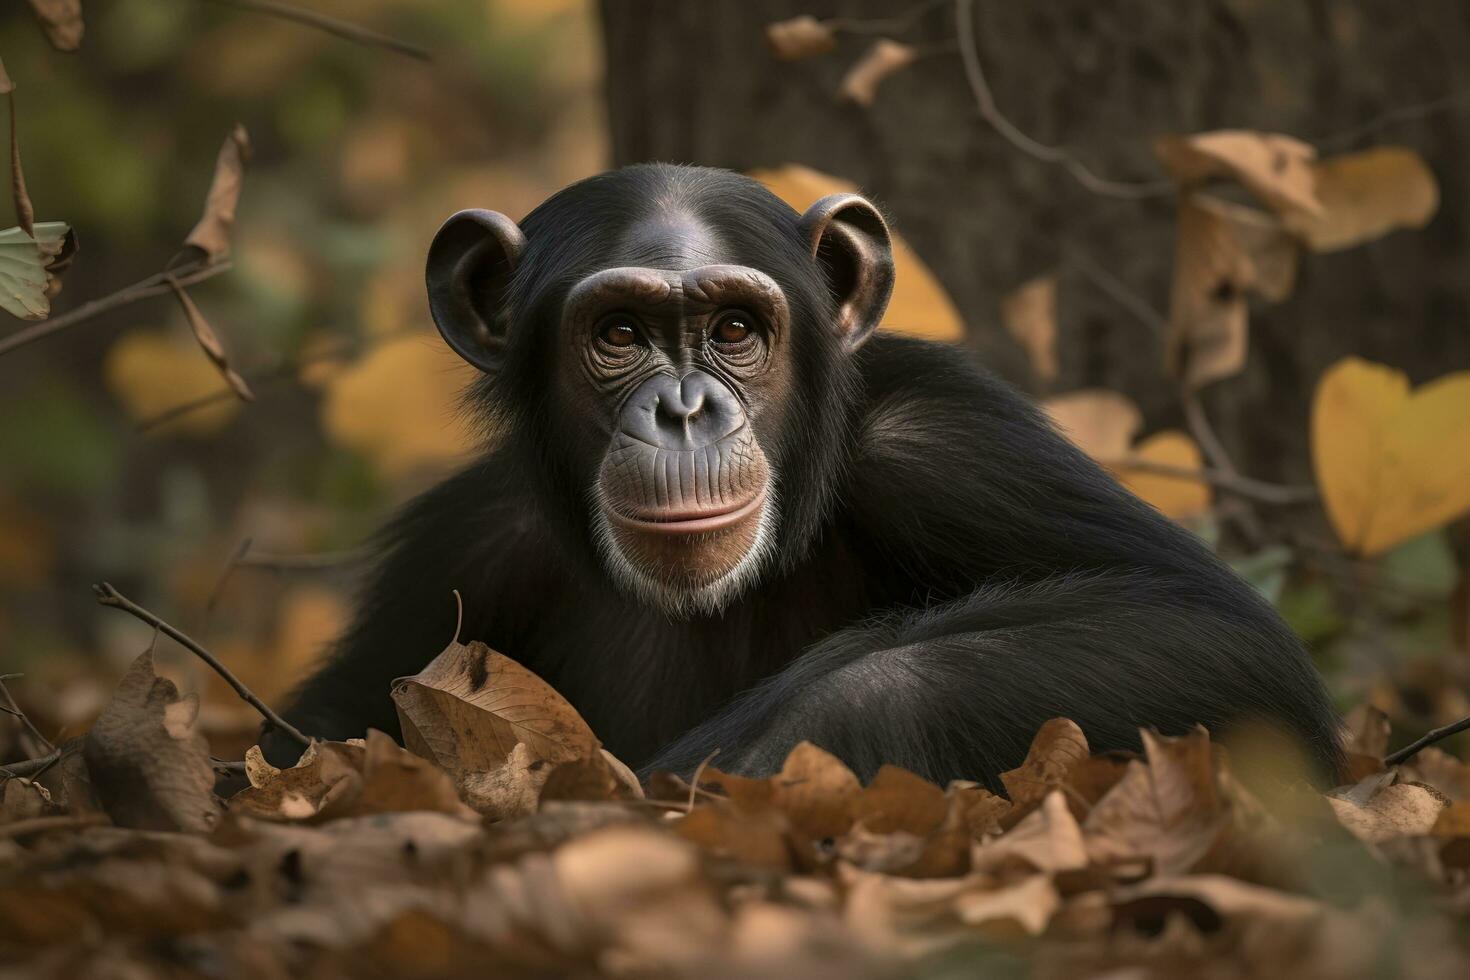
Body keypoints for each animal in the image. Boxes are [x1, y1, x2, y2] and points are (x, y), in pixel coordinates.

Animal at [264, 163, 1346, 787]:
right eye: (619, 335)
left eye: (736, 328)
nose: (685, 408)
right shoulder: (467, 540)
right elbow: (321, 729)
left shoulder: (948, 438)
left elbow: (1207, 622)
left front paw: (748, 760)